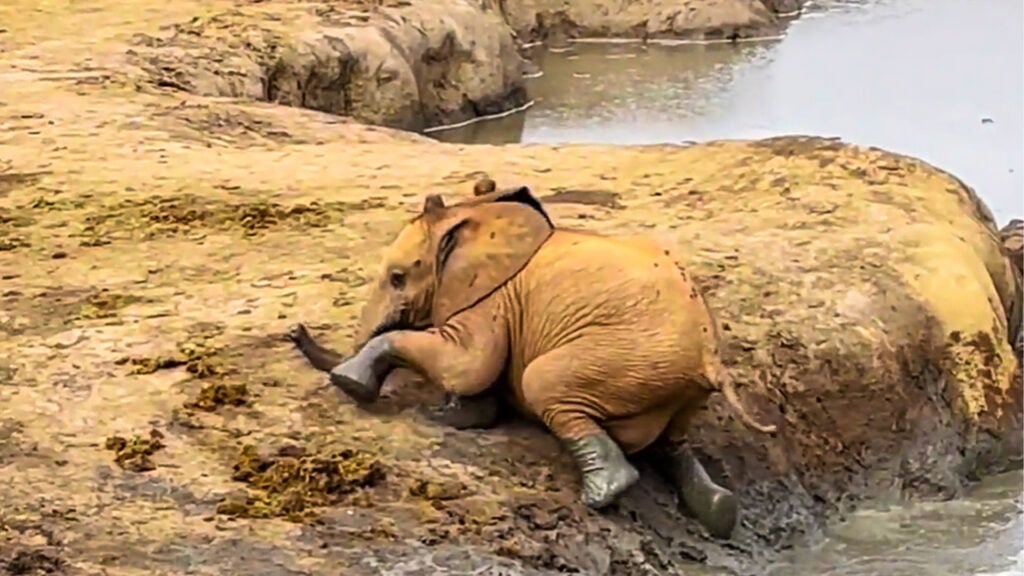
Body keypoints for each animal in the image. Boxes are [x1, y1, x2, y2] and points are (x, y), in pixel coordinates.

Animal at [289, 183, 778, 539]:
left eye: (397, 277)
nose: (294, 330)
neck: (475, 215)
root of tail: (709, 358)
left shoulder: (491, 300)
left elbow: (467, 365)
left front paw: (353, 384)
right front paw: (451, 416)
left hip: (627, 357)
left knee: (543, 382)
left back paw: (601, 495)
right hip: (674, 385)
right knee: (673, 442)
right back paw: (719, 512)